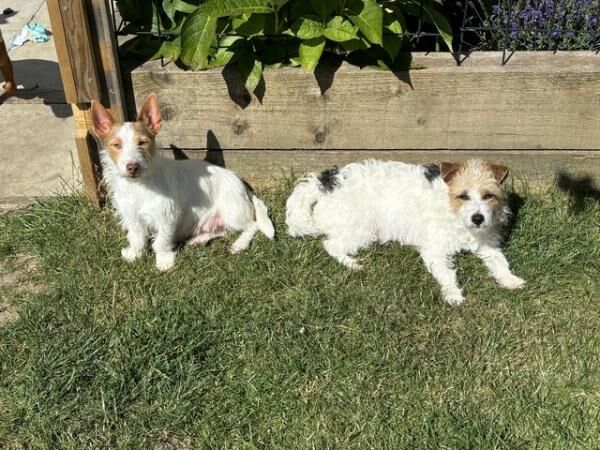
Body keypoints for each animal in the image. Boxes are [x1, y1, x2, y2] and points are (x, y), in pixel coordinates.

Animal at [91, 93, 274, 270]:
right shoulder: (132, 216)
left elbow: (161, 242)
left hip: (232, 213)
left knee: (252, 225)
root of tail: (244, 187)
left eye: (142, 142)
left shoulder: (166, 217)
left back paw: (239, 244)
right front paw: (135, 254)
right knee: (222, 230)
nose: (132, 167)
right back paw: (199, 239)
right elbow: (136, 237)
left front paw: (164, 261)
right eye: (116, 145)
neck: (140, 185)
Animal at [286, 159, 524, 306]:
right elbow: (447, 273)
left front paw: (510, 280)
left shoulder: (487, 244)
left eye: (488, 195)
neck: (452, 208)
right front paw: (453, 294)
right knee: (331, 245)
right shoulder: (434, 250)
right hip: (362, 228)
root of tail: (325, 182)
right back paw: (352, 264)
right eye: (463, 196)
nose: (478, 218)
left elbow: (500, 263)